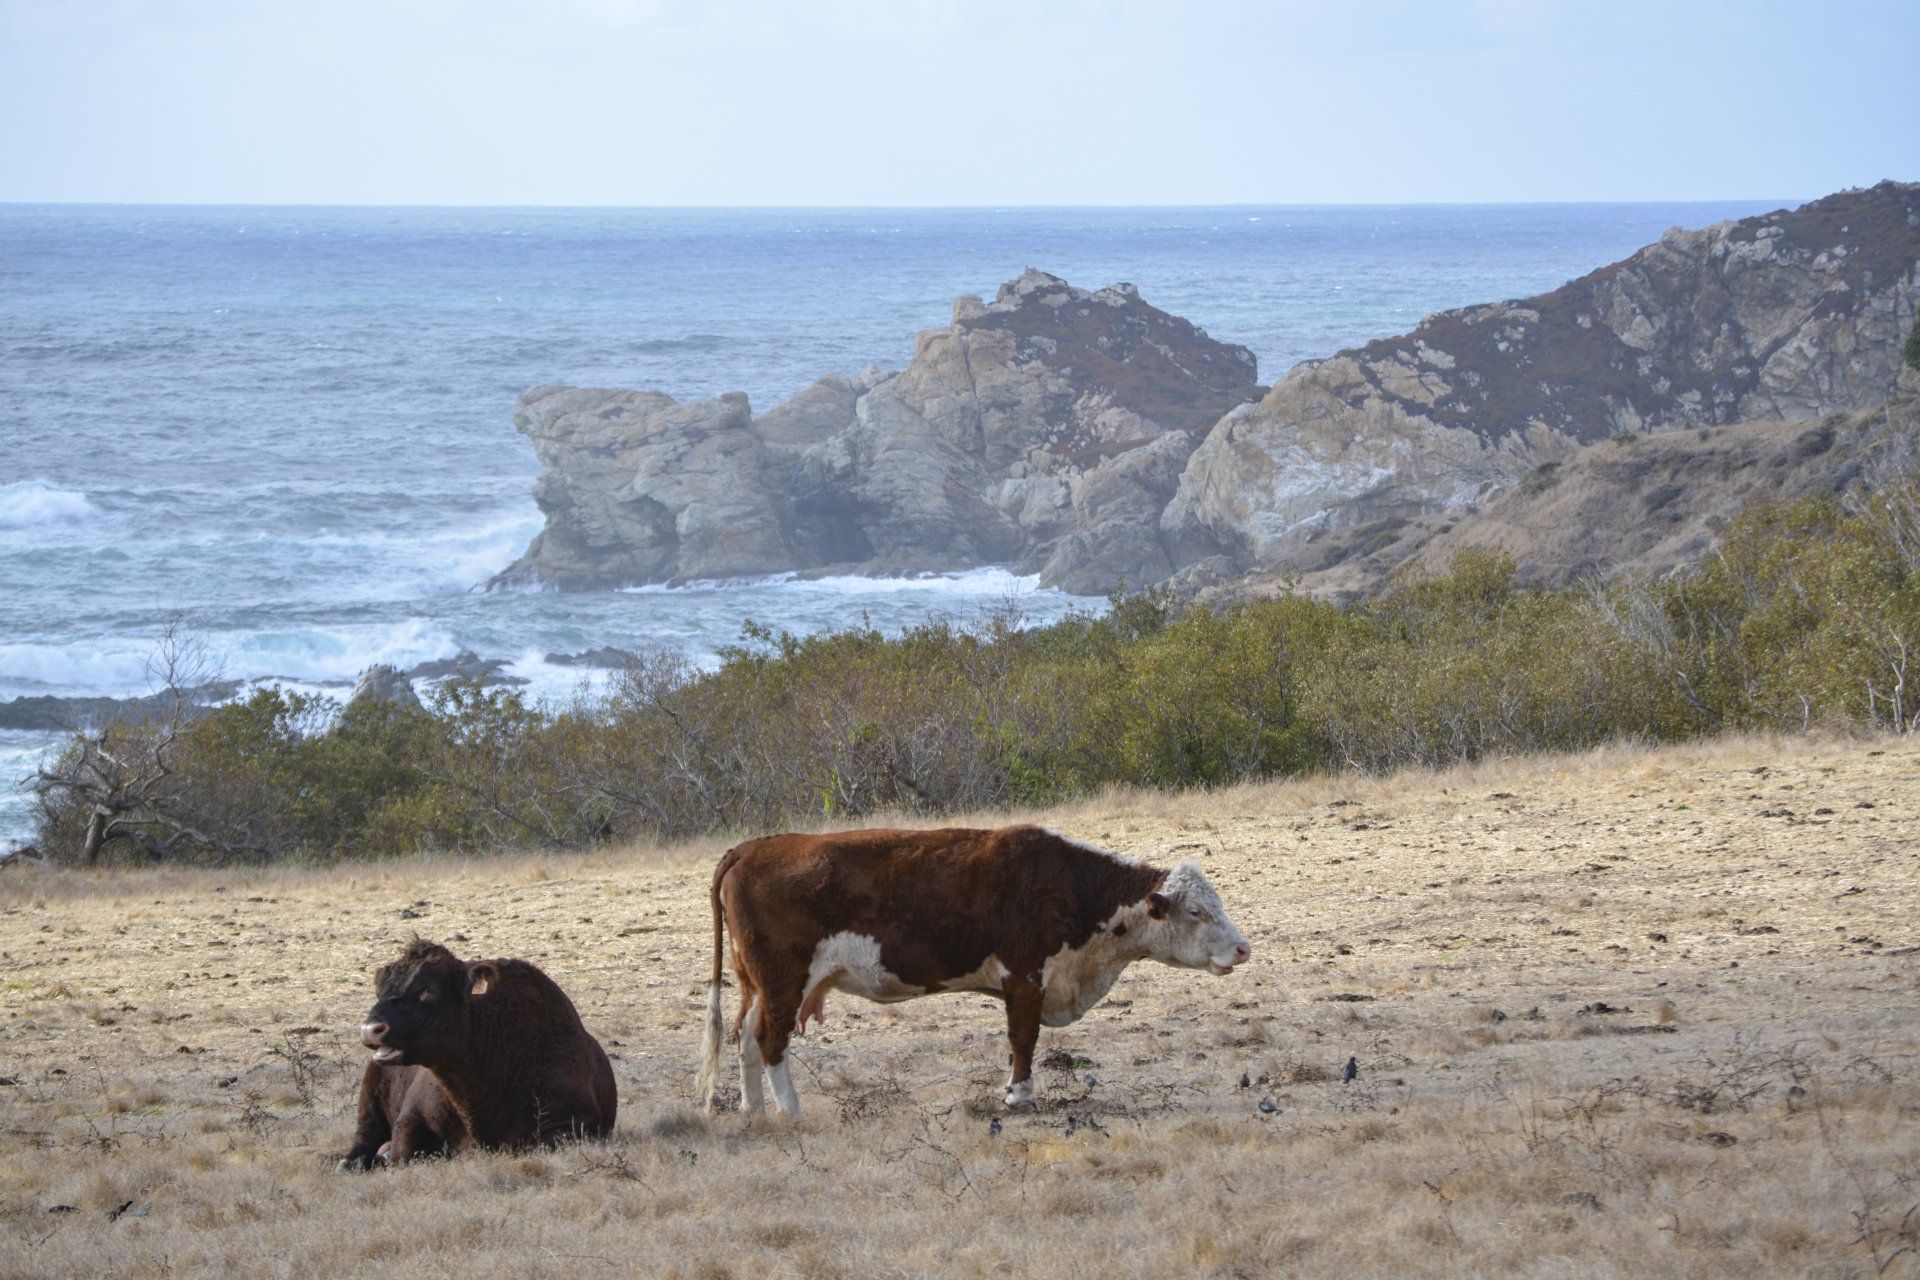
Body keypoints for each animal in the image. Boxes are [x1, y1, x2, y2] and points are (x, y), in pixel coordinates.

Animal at [695, 824, 1251, 1117]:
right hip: (784, 980)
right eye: (1195, 912)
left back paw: (754, 1111)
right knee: (770, 1039)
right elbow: (1023, 1039)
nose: (1243, 949)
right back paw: (792, 1112)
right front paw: (1019, 1096)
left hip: (754, 982)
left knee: (744, 1036)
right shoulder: (1025, 977)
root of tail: (752, 846)